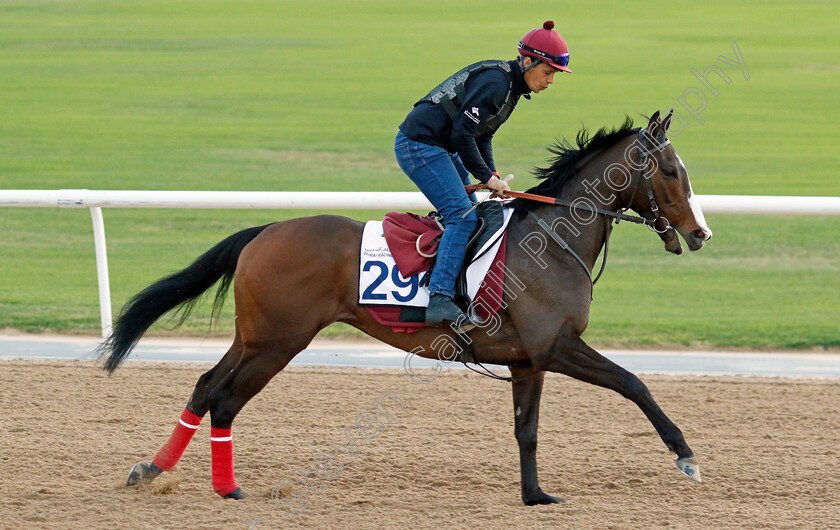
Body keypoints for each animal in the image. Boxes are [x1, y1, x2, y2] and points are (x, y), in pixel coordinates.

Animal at [101, 110, 712, 504]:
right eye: (671, 171)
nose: (699, 233)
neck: (554, 239)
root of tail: (265, 230)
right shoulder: (556, 346)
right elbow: (634, 383)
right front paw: (685, 455)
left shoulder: (527, 360)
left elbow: (527, 430)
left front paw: (536, 495)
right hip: (279, 341)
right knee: (226, 400)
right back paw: (227, 489)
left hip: (252, 336)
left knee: (206, 386)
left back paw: (150, 469)